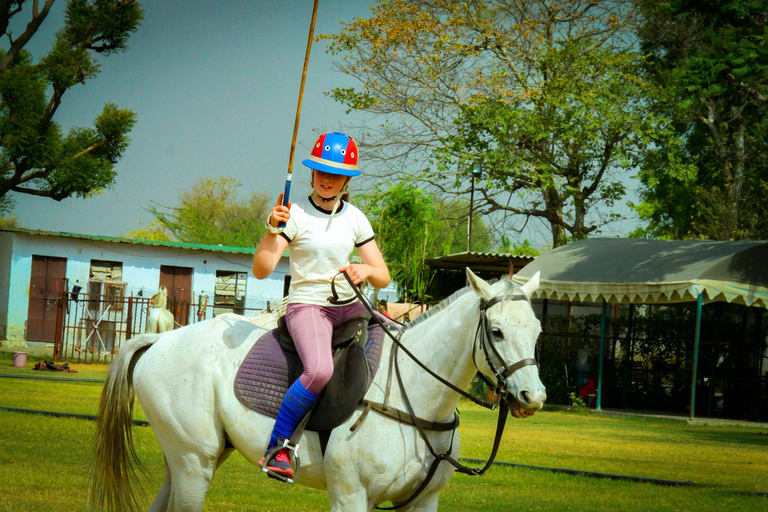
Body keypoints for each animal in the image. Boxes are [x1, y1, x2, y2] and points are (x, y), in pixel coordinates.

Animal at [91, 270, 544, 510]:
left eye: (537, 330)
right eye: (497, 332)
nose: (533, 398)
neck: (414, 398)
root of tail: (159, 340)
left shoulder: (423, 502)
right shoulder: (351, 496)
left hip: (190, 459)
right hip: (194, 464)